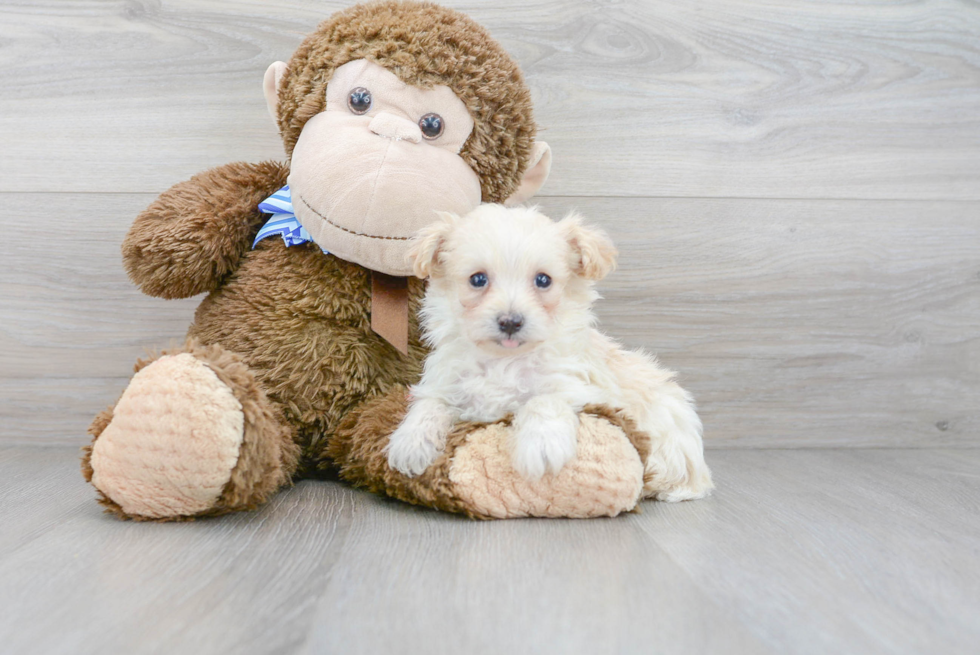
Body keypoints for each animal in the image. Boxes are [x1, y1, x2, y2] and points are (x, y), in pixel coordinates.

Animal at [386, 205, 716, 502]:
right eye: (477, 279)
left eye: (543, 280)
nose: (510, 322)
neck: (504, 362)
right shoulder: (446, 384)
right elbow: (430, 405)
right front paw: (409, 443)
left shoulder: (579, 388)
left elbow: (544, 400)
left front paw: (540, 445)